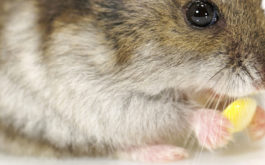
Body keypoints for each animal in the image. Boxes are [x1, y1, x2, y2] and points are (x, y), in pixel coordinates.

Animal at [0, 0, 262, 162]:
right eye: (200, 13)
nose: (262, 84)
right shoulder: (87, 88)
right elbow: (173, 112)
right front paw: (218, 128)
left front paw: (259, 121)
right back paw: (169, 154)